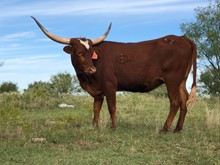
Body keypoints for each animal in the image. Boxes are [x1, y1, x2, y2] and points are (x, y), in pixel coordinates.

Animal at [31, 16, 196, 132]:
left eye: (91, 52)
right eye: (79, 52)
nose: (92, 70)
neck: (87, 79)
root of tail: (182, 38)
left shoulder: (110, 86)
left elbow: (112, 107)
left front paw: (114, 127)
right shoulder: (98, 92)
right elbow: (96, 108)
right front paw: (94, 126)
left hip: (172, 80)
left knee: (175, 102)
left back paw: (165, 128)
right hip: (181, 81)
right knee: (184, 101)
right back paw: (178, 129)